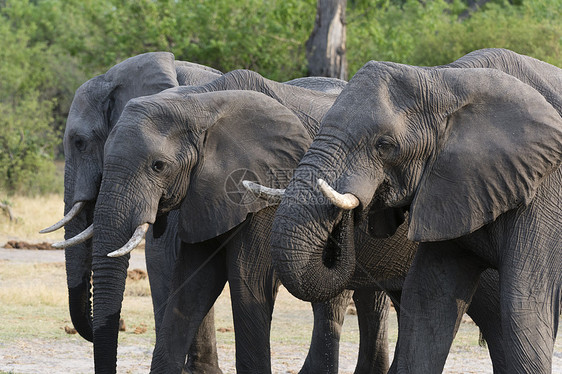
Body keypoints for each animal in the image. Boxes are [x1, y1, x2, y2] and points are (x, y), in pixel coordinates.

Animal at [268, 48, 560, 372]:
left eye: (384, 145)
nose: (347, 217)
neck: (446, 79)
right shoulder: (449, 190)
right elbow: (428, 298)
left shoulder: (545, 192)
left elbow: (523, 304)